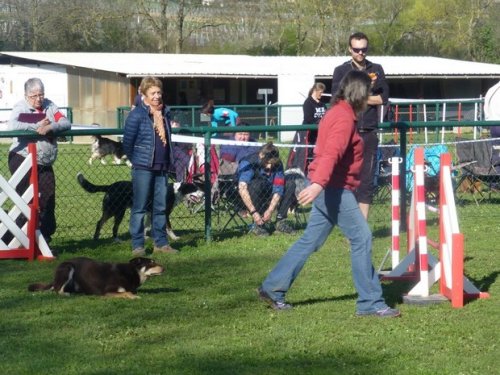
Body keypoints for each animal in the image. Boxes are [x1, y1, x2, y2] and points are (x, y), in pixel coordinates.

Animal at [27, 258, 163, 300]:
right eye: (151, 263)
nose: (164, 267)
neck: (131, 272)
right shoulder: (107, 291)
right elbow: (127, 292)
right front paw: (134, 296)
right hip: (68, 267)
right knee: (57, 289)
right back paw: (65, 294)